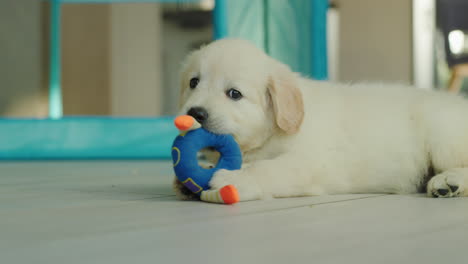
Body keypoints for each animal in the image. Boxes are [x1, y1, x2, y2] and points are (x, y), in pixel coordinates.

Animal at [174, 38, 468, 201]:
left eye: (234, 94)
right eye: (193, 82)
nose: (195, 113)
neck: (270, 135)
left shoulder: (311, 162)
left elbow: (269, 169)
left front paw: (233, 179)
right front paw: (191, 180)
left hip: (443, 136)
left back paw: (449, 182)